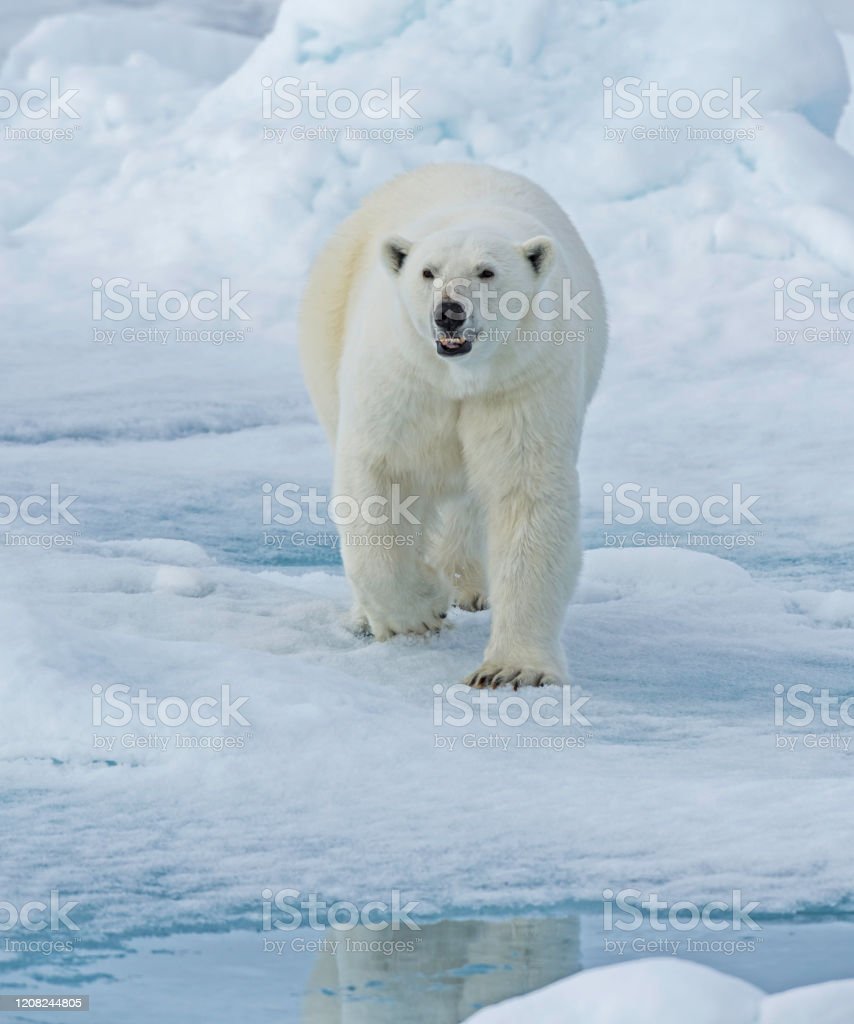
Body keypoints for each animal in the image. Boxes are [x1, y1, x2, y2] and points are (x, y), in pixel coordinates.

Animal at [299, 161, 606, 688]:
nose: (449, 313)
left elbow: (526, 494)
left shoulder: (523, 381)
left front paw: (512, 670)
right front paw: (421, 609)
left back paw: (468, 586)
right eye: (429, 272)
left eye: (487, 272)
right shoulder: (404, 378)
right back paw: (368, 616)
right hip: (329, 322)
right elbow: (379, 476)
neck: (461, 376)